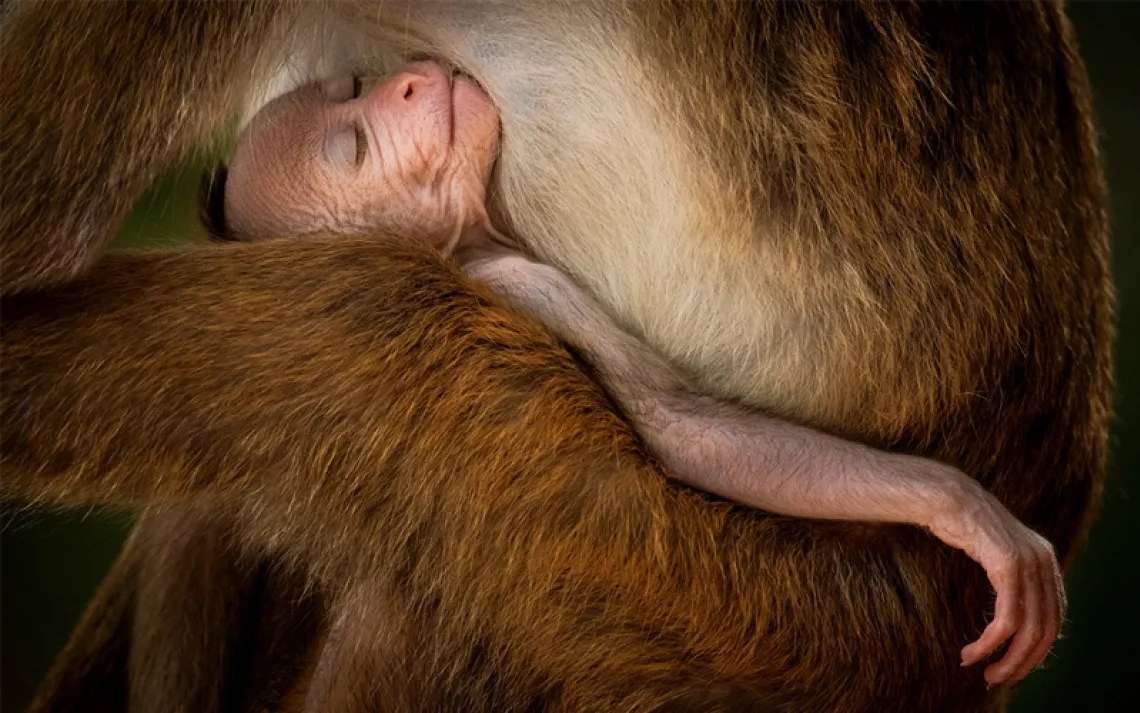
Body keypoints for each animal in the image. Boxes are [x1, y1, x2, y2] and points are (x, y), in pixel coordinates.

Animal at [0, 1, 1112, 712]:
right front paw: (958, 506)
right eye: (350, 147)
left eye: (356, 88)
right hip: (752, 627)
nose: (411, 81)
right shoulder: (522, 280)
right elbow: (678, 428)